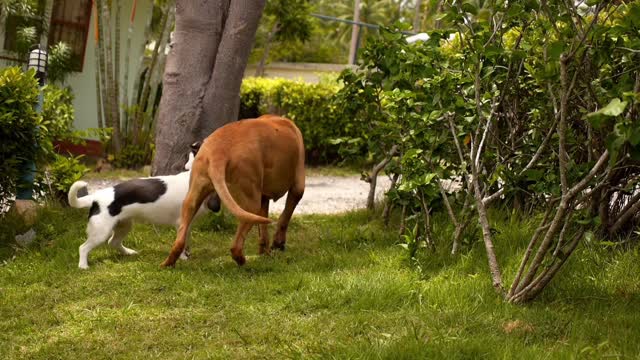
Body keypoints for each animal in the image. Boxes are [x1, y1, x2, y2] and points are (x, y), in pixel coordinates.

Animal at [67, 142, 218, 268]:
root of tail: (95, 197)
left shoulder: (188, 224)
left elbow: (186, 241)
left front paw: (187, 255)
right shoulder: (181, 223)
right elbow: (180, 243)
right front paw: (182, 258)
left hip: (124, 225)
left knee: (113, 242)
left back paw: (128, 253)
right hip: (101, 232)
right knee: (83, 247)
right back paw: (83, 266)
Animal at [164, 115, 306, 268]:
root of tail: (218, 151)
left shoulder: (263, 199)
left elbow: (263, 231)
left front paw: (265, 252)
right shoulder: (297, 188)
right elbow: (284, 218)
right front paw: (278, 244)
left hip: (191, 200)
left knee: (180, 237)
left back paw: (168, 263)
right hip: (251, 206)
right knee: (235, 247)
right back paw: (243, 262)